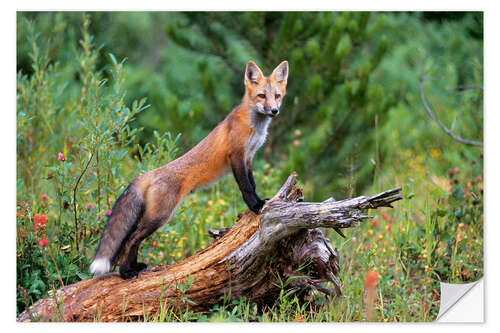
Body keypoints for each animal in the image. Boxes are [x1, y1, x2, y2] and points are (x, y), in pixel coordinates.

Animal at [90, 59, 290, 278]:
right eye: (262, 95)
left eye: (277, 96)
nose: (274, 110)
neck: (254, 126)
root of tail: (149, 173)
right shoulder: (237, 156)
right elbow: (246, 187)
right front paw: (255, 206)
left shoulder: (249, 157)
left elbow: (252, 184)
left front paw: (260, 201)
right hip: (160, 216)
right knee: (130, 240)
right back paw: (126, 273)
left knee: (131, 240)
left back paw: (133, 268)